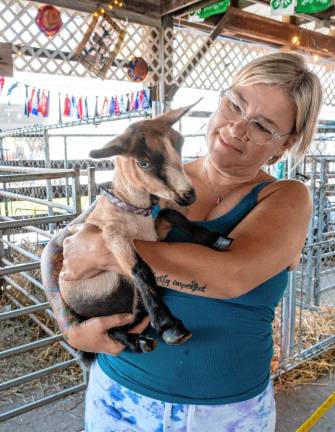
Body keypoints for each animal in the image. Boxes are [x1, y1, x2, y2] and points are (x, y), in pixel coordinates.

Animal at [59, 104, 232, 354]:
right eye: (143, 163)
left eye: (179, 144)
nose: (189, 196)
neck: (135, 213)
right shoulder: (111, 235)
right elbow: (140, 268)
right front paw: (170, 327)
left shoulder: (156, 232)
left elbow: (170, 213)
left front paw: (216, 239)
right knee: (108, 329)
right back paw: (138, 341)